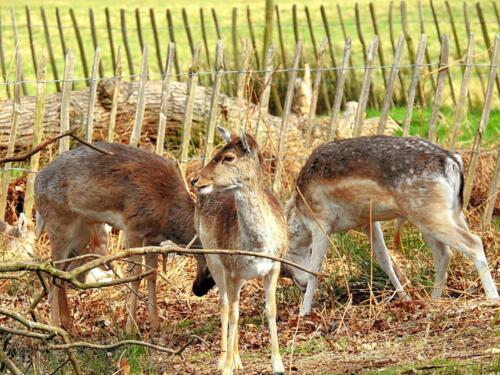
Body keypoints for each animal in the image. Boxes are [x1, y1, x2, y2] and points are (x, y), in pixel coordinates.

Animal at [34, 142, 215, 334]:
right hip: (58, 223)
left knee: (63, 274)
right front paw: (131, 328)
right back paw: (55, 329)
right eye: (210, 269)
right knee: (52, 275)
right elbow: (135, 274)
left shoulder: (153, 238)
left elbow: (152, 274)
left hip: (81, 233)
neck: (166, 210)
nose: (198, 291)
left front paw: (155, 324)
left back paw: (70, 328)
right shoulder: (133, 227)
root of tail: (36, 182)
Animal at [190, 128, 286, 374]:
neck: (258, 245)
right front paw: (226, 368)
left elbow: (271, 309)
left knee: (235, 303)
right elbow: (233, 312)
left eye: (229, 157)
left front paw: (278, 364)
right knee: (225, 303)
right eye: (217, 151)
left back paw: (237, 359)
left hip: (240, 275)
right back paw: (224, 359)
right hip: (213, 259)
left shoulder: (275, 264)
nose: (195, 179)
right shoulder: (230, 267)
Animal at [284, 136, 498, 318]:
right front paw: (405, 298)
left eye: (284, 267)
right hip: (446, 214)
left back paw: (492, 298)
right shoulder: (368, 221)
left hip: (430, 216)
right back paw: (434, 301)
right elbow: (384, 259)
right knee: (444, 254)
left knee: (473, 242)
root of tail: (451, 160)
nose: (301, 286)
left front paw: (304, 312)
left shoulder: (321, 222)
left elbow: (315, 269)